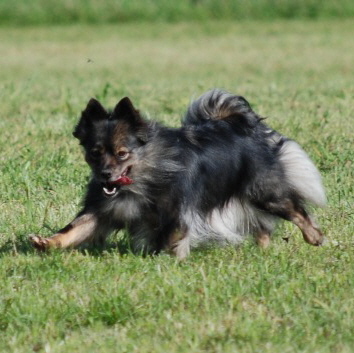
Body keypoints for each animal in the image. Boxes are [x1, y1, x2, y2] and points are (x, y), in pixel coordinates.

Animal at [30, 89, 326, 258]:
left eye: (122, 154)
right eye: (94, 153)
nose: (105, 174)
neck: (140, 178)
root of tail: (241, 126)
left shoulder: (177, 212)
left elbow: (171, 236)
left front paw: (164, 258)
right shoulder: (102, 211)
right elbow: (73, 229)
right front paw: (46, 242)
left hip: (265, 192)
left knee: (296, 211)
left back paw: (314, 237)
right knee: (262, 225)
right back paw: (262, 251)